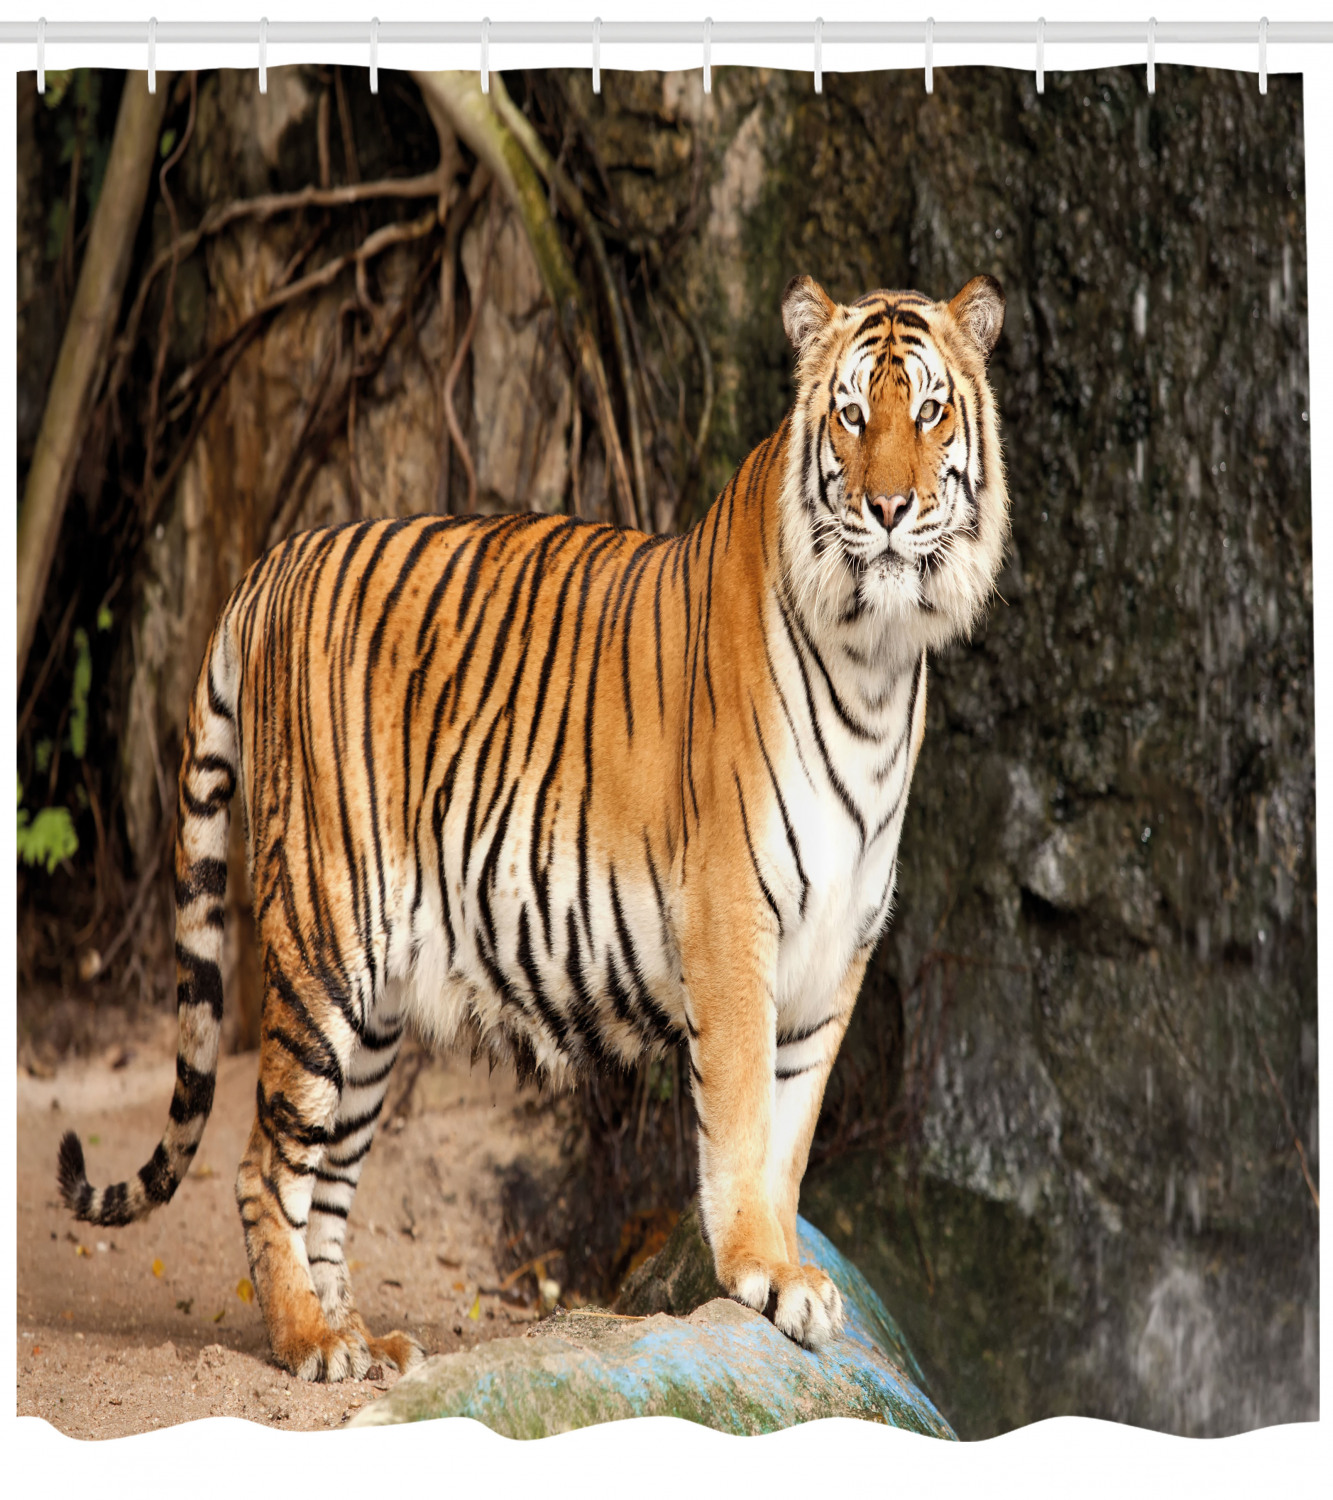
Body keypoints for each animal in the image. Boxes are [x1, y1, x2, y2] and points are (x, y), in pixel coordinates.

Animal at [58, 272, 1008, 1382]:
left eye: (930, 412)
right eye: (853, 415)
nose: (888, 509)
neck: (878, 660)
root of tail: (275, 560)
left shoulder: (839, 945)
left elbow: (791, 1135)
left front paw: (788, 1274)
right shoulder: (733, 922)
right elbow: (739, 1116)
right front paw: (761, 1273)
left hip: (378, 1006)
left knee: (328, 1179)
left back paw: (362, 1337)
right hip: (325, 934)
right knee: (264, 1161)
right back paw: (309, 1342)